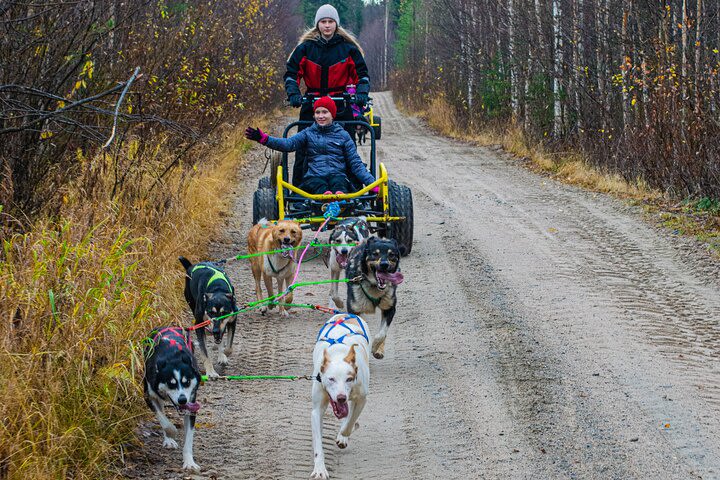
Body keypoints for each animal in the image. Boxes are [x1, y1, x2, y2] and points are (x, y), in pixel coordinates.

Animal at [143, 326, 201, 472]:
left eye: (187, 382)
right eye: (171, 383)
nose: (182, 400)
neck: (172, 357)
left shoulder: (191, 405)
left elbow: (189, 439)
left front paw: (189, 461)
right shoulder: (148, 396)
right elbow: (165, 422)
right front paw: (171, 432)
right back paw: (168, 439)